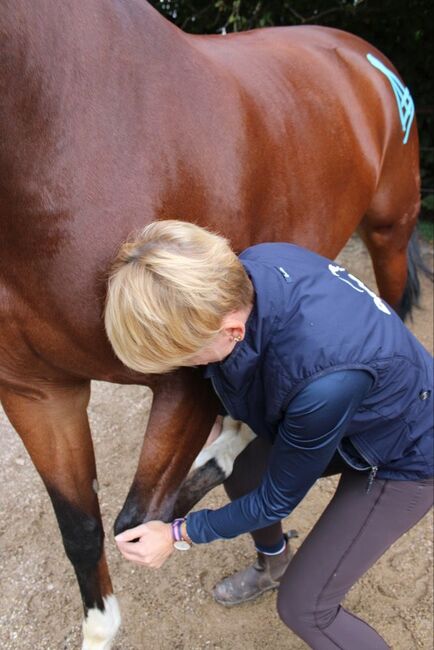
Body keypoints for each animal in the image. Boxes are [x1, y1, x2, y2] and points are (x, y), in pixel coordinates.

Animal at [0, 1, 424, 648]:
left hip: (390, 231)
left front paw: (226, 452)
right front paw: (101, 627)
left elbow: (141, 515)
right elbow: (82, 527)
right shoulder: (38, 393)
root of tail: (365, 55)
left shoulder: (187, 381)